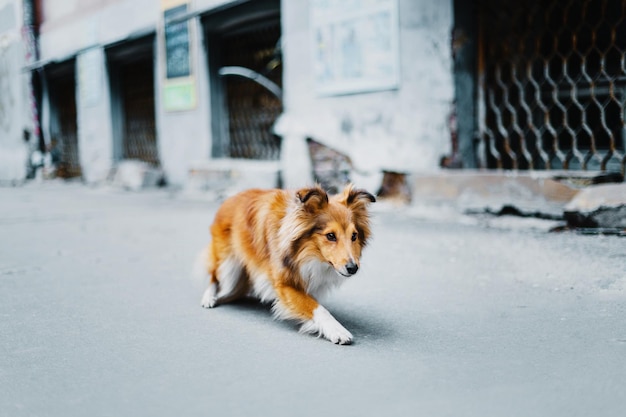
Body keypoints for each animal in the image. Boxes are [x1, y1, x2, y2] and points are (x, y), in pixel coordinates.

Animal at [200, 184, 372, 342]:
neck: (306, 254)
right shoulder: (284, 283)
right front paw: (337, 330)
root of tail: (230, 198)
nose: (353, 268)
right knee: (214, 276)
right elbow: (316, 307)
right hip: (227, 265)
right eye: (330, 235)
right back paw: (209, 298)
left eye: (354, 236)